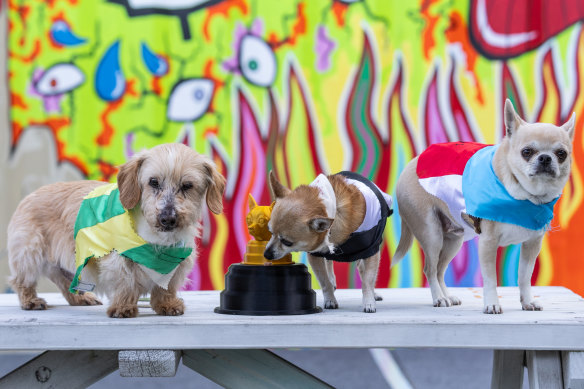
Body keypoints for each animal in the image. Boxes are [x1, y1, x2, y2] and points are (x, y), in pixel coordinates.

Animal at [6, 144, 226, 316]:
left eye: (187, 185)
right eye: (153, 182)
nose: (167, 218)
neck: (157, 239)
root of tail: (29, 196)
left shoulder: (177, 263)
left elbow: (166, 287)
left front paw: (167, 304)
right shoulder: (118, 259)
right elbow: (126, 283)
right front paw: (123, 308)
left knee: (63, 280)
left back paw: (82, 298)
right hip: (29, 254)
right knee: (21, 281)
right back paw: (30, 301)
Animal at [264, 170, 392, 312]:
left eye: (287, 242)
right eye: (270, 232)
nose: (266, 254)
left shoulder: (370, 251)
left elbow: (368, 280)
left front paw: (369, 301)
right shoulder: (315, 254)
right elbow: (324, 281)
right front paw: (330, 299)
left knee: (363, 270)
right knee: (329, 262)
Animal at [392, 99, 576, 312]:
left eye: (561, 154)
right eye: (527, 152)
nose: (545, 158)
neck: (527, 197)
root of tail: (411, 164)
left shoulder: (532, 245)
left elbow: (524, 277)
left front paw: (527, 301)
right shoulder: (489, 243)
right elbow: (490, 280)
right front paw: (492, 304)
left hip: (453, 240)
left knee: (439, 270)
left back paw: (447, 296)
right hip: (431, 234)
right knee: (430, 269)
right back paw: (439, 298)